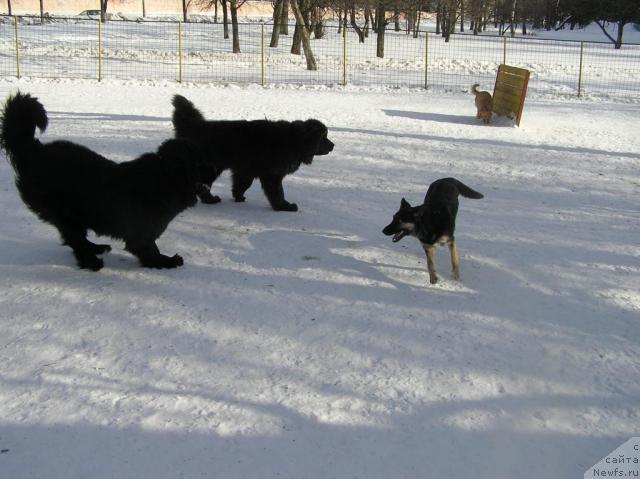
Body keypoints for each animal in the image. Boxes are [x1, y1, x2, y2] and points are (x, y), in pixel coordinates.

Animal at [0, 92, 200, 272]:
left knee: (78, 239)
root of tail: (33, 151)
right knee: (76, 241)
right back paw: (92, 262)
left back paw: (96, 248)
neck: (166, 176)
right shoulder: (140, 234)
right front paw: (167, 261)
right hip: (66, 214)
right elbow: (150, 250)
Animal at [170, 94, 336, 212]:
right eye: (323, 137)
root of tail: (196, 127)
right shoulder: (272, 175)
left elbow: (242, 184)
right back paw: (210, 200)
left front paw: (238, 197)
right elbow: (277, 192)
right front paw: (283, 207)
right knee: (200, 185)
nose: (333, 145)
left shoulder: (246, 170)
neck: (294, 141)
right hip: (210, 168)